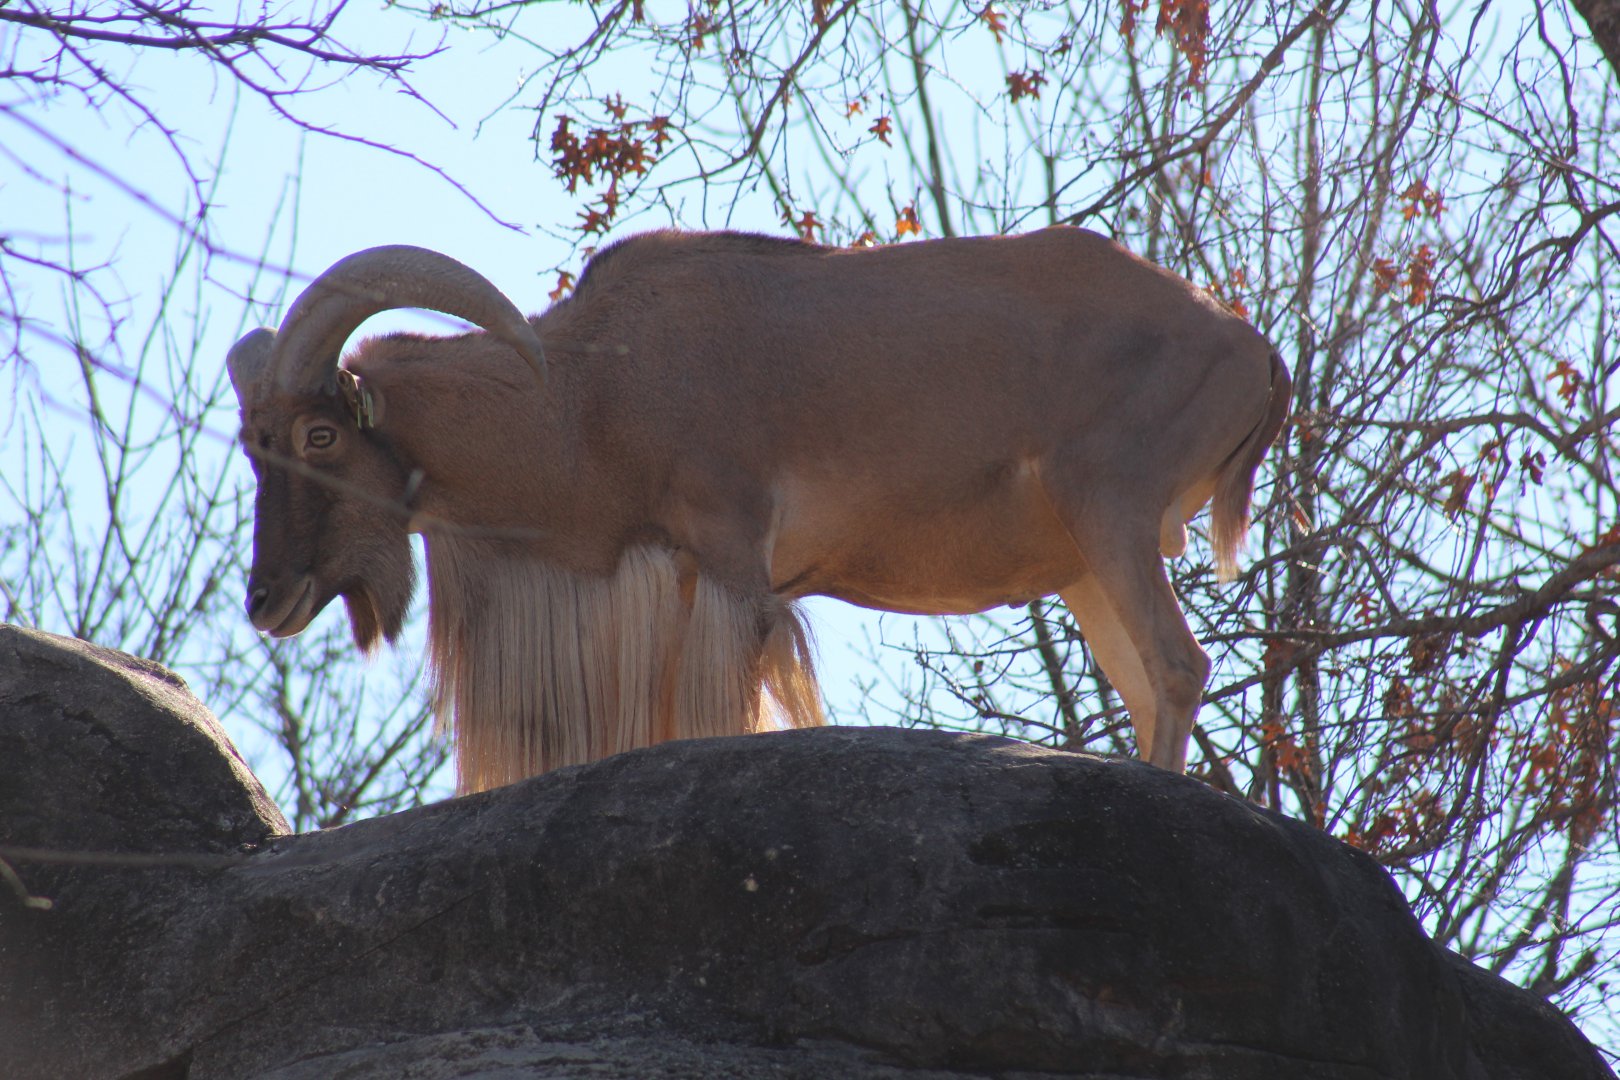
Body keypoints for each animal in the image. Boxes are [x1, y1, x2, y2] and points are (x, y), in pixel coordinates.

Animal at [228, 228, 1291, 792]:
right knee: (1150, 683)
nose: (266, 599)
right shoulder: (676, 584)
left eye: (320, 437)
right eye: (252, 445)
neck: (588, 395)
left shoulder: (736, 565)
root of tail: (1254, 347)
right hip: (1082, 567)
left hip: (1111, 511)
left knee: (1178, 666)